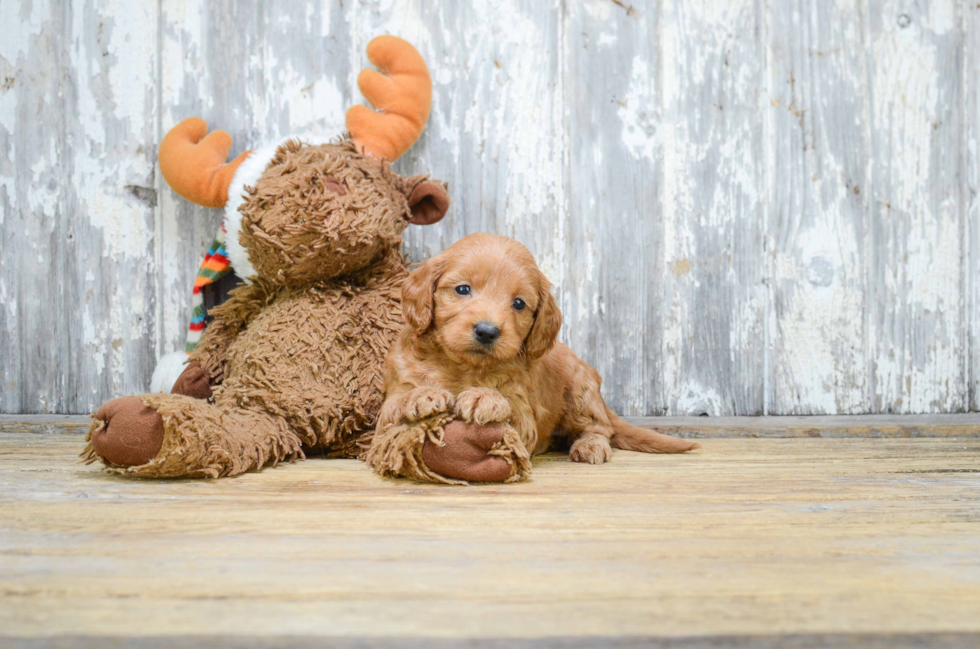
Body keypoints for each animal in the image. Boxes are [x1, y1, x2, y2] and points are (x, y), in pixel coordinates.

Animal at [372, 233, 700, 480]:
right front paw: (422, 396)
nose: (487, 331)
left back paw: (590, 446)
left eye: (518, 303)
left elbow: (511, 416)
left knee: (599, 428)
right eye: (463, 289)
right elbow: (395, 407)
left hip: (581, 392)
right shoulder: (390, 401)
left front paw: (484, 397)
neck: (463, 367)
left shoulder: (523, 409)